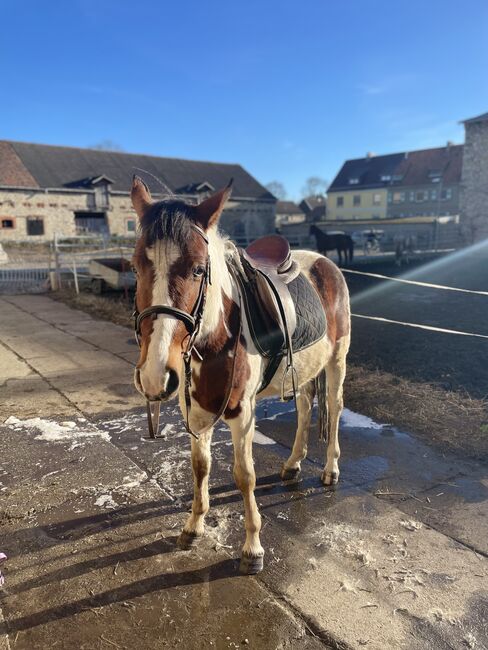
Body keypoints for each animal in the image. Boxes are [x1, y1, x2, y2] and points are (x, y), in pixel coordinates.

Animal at [131, 177, 350, 572]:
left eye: (198, 269)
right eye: (136, 267)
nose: (155, 376)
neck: (217, 335)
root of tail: (325, 262)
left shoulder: (241, 413)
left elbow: (244, 476)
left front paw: (252, 548)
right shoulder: (195, 410)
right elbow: (200, 467)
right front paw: (193, 526)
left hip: (337, 361)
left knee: (335, 407)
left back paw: (330, 469)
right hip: (306, 370)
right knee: (306, 407)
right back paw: (293, 463)